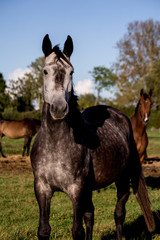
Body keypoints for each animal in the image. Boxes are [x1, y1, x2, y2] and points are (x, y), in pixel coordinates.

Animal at [30, 34, 155, 240]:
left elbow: (77, 231)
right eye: (45, 71)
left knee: (119, 214)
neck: (56, 144)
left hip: (122, 180)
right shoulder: (42, 189)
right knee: (90, 216)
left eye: (71, 72)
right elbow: (44, 230)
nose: (59, 108)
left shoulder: (76, 190)